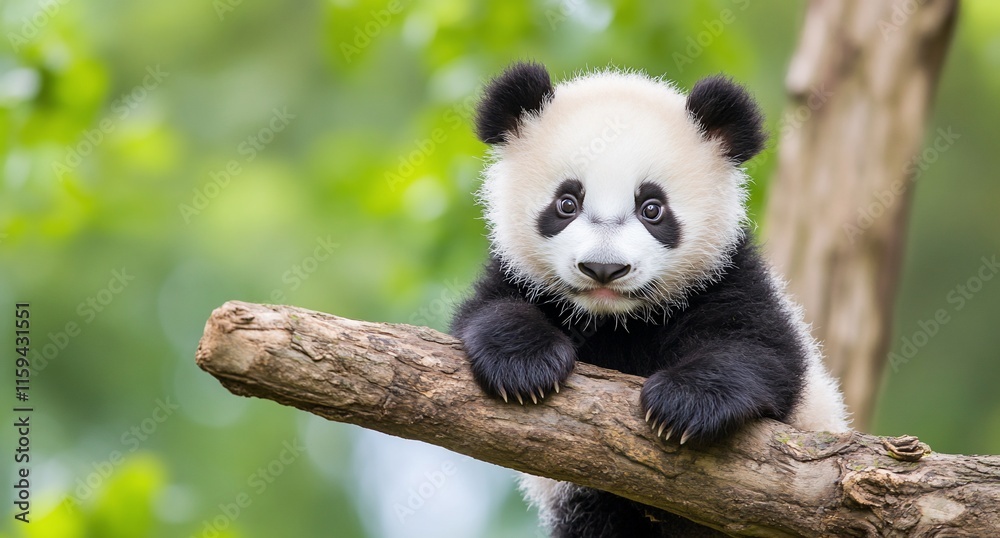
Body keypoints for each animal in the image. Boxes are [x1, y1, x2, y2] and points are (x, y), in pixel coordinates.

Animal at [451, 62, 850, 537]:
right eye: (566, 203)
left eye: (652, 208)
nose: (604, 269)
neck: (616, 319)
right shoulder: (516, 275)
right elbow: (488, 313)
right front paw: (524, 366)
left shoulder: (727, 278)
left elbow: (760, 348)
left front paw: (683, 404)